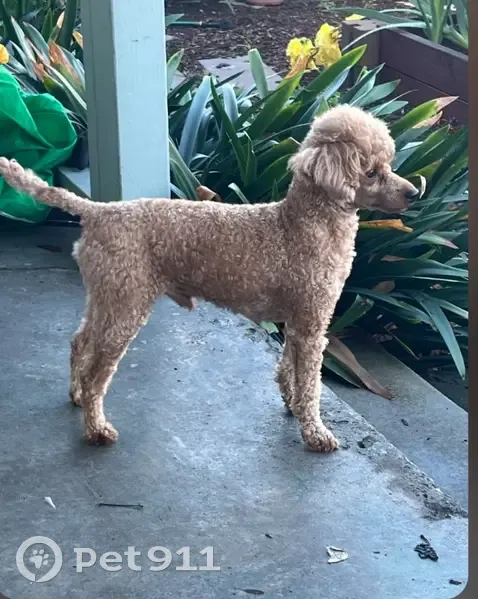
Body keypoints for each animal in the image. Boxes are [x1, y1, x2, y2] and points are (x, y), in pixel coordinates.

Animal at [0, 105, 419, 451]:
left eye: (388, 164)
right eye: (371, 172)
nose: (414, 192)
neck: (303, 223)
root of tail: (97, 211)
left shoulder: (297, 320)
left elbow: (289, 366)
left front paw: (290, 402)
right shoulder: (313, 322)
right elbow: (311, 383)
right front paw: (315, 432)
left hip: (107, 295)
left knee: (79, 342)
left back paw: (75, 395)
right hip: (126, 304)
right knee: (96, 373)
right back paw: (97, 428)